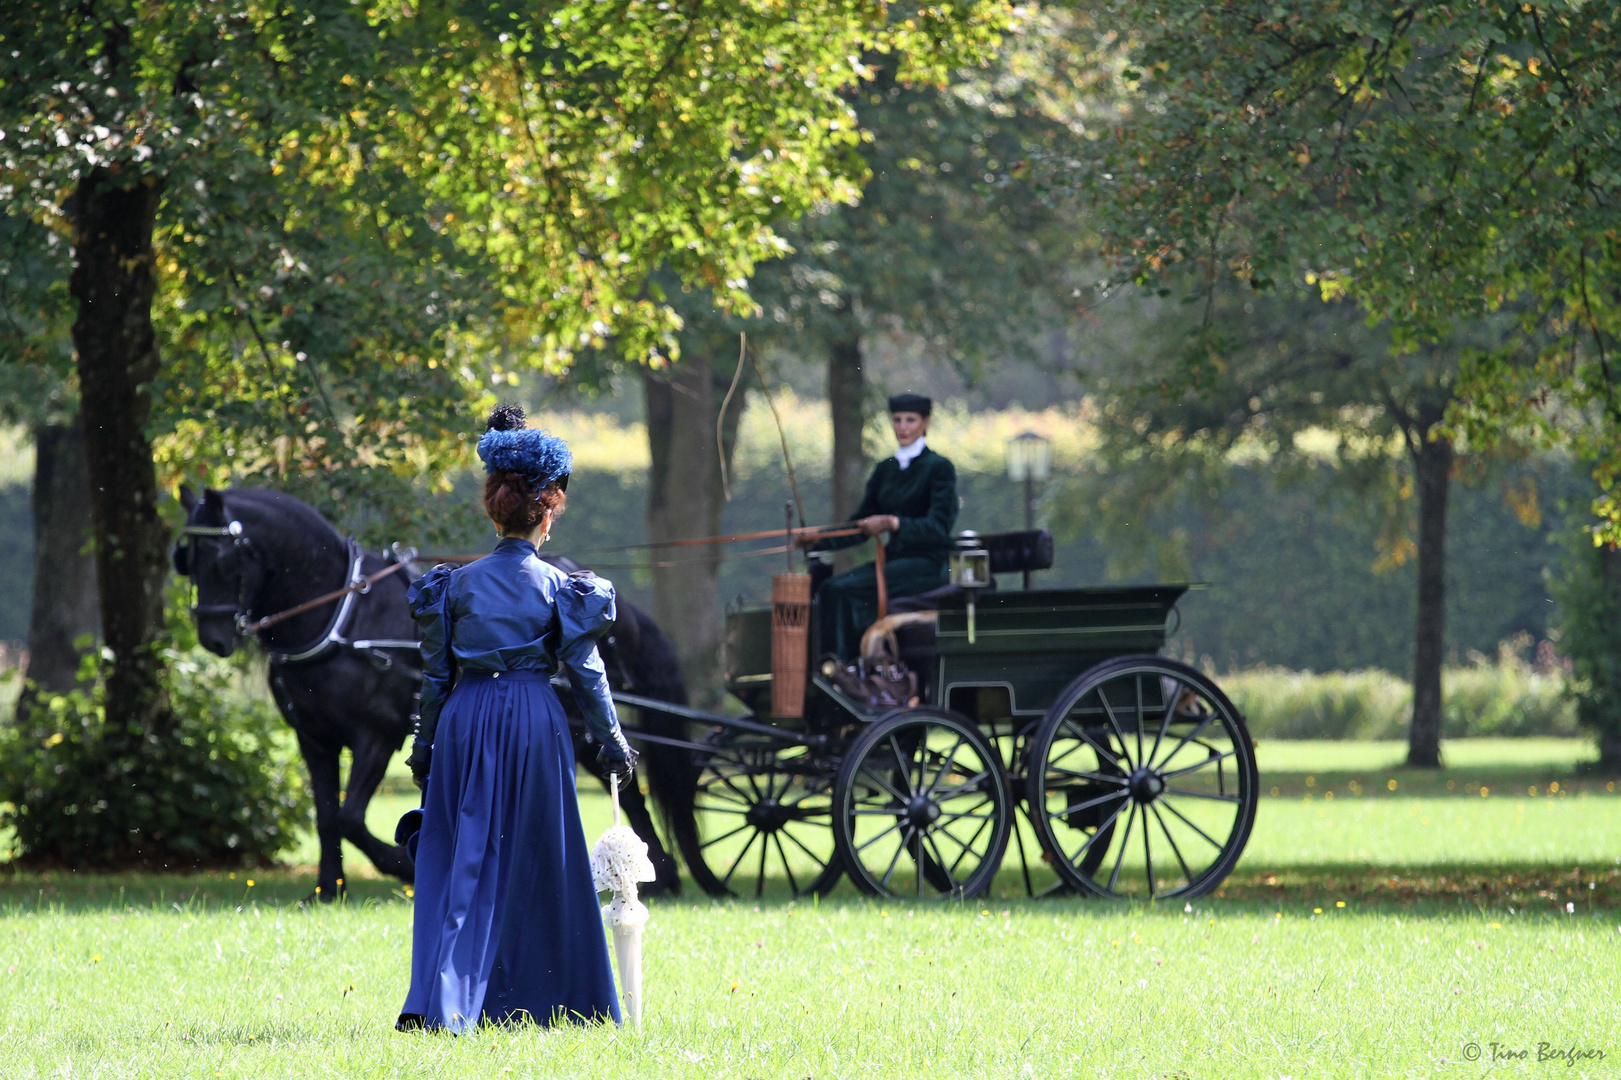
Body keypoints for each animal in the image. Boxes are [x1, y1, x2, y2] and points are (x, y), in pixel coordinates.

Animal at [175, 483, 697, 895]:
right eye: (187, 559)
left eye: (222, 558)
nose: (213, 639)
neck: (342, 618)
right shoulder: (314, 740)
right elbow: (326, 816)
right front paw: (327, 889)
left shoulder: (376, 735)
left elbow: (349, 817)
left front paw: (399, 864)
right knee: (628, 791)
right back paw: (663, 875)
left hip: (583, 724)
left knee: (629, 789)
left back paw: (663, 875)